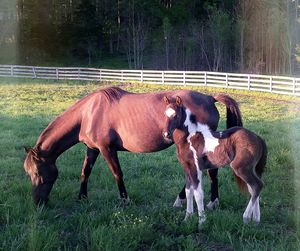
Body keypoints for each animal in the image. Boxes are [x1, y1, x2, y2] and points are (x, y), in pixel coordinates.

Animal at [24, 87, 243, 205]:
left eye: (37, 173)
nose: (38, 202)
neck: (89, 112)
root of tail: (209, 98)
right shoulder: (92, 149)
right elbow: (85, 172)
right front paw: (81, 198)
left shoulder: (107, 149)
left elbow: (117, 173)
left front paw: (124, 200)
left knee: (207, 171)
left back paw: (208, 201)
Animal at [163, 96, 268, 226]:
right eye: (165, 114)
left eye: (176, 115)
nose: (166, 134)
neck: (189, 138)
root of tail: (259, 138)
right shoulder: (187, 168)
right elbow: (188, 192)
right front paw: (187, 218)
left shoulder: (196, 168)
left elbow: (198, 194)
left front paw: (201, 221)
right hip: (249, 169)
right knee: (253, 188)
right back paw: (256, 219)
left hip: (240, 168)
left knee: (257, 186)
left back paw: (246, 217)